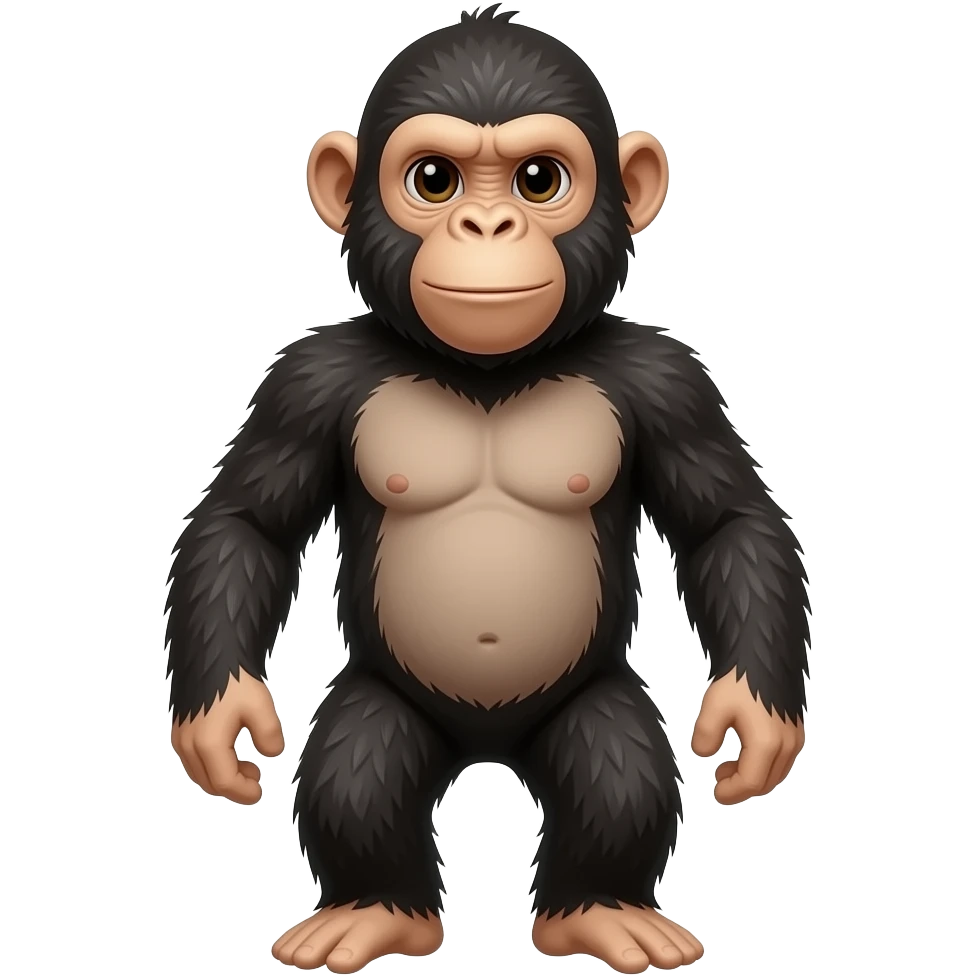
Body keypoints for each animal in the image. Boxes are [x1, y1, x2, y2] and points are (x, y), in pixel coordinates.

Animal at [165, 6, 810, 974]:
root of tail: (487, 747)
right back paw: (377, 910)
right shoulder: (306, 381)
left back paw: (598, 909)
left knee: (616, 763)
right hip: (388, 702)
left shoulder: (669, 381)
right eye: (433, 179)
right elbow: (248, 525)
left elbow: (727, 526)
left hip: (587, 703)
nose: (487, 224)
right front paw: (220, 719)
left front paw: (754, 720)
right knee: (359, 763)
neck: (487, 373)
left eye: (540, 179)